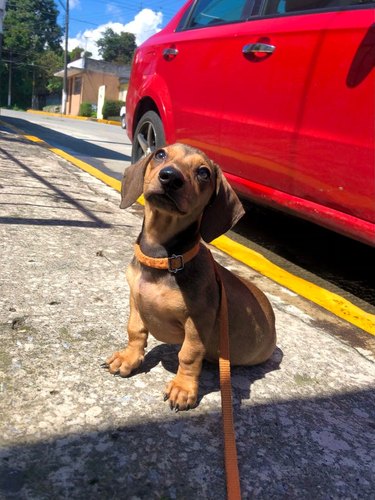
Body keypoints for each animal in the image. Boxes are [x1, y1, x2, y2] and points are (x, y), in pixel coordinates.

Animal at [105, 144, 276, 410]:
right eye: (160, 154)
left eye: (203, 172)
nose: (170, 177)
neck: (164, 259)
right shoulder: (135, 299)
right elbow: (135, 331)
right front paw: (129, 358)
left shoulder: (198, 321)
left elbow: (188, 354)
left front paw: (183, 388)